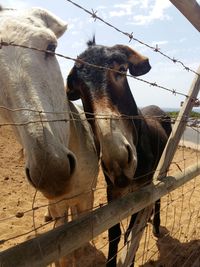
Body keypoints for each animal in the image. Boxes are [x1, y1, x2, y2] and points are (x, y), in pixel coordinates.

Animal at [0, 6, 99, 267]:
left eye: (51, 47)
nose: (52, 172)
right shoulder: (59, 204)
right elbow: (64, 252)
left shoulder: (86, 196)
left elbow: (82, 240)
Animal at [66, 38, 171, 267]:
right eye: (79, 88)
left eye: (122, 70)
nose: (118, 162)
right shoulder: (113, 191)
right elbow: (114, 233)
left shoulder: (141, 188)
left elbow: (130, 233)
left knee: (158, 199)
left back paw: (156, 225)